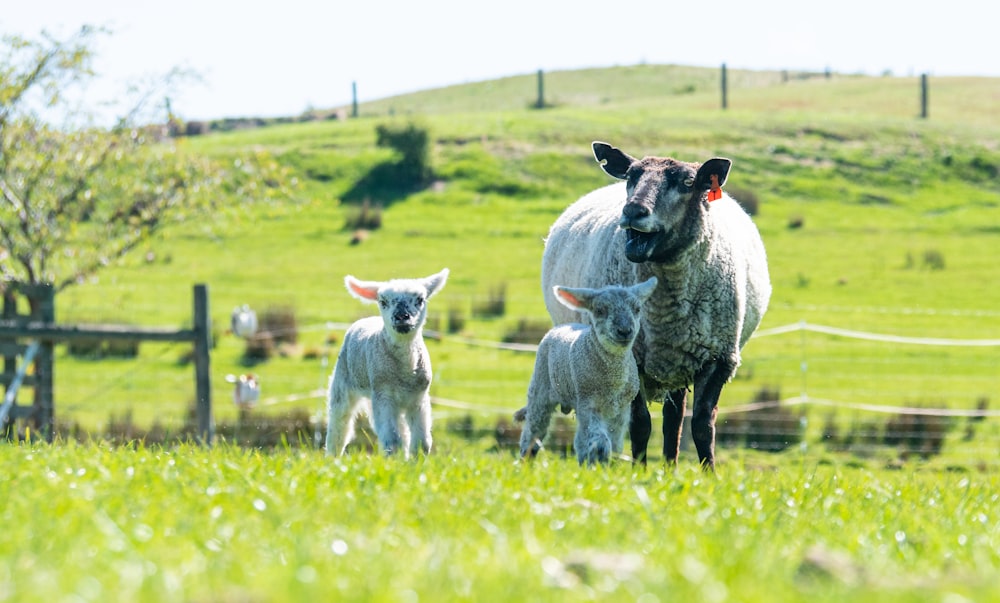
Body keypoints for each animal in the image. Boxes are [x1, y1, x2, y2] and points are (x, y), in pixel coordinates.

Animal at [324, 268, 450, 458]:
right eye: (382, 301)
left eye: (420, 300)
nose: (401, 317)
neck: (405, 371)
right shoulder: (383, 395)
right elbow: (392, 440)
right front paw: (395, 459)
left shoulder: (419, 398)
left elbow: (422, 441)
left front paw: (416, 461)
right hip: (343, 382)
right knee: (340, 424)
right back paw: (333, 457)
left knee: (403, 431)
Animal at [516, 278, 656, 468]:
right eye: (600, 310)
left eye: (637, 309)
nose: (625, 331)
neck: (613, 380)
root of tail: (560, 327)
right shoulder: (588, 403)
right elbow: (600, 440)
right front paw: (600, 462)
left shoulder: (621, 410)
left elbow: (615, 443)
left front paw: (608, 467)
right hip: (540, 390)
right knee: (533, 432)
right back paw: (525, 464)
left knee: (579, 440)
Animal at [544, 143, 768, 472]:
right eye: (631, 176)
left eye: (687, 183)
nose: (633, 211)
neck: (667, 310)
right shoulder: (632, 357)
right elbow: (640, 424)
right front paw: (639, 471)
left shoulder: (718, 358)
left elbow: (702, 425)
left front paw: (709, 474)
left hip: (680, 362)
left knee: (673, 420)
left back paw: (670, 469)